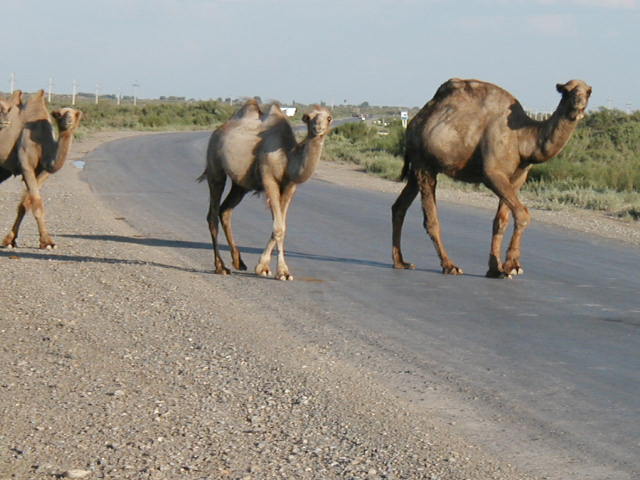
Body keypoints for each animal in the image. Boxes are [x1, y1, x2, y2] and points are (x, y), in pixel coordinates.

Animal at [0, 89, 84, 249]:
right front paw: (47, 242)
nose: (68, 121)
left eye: (75, 114)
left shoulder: (43, 171)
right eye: (60, 114)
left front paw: (10, 240)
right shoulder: (26, 164)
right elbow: (37, 204)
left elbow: (25, 204)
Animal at [198, 100, 332, 282]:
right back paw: (221, 267)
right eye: (309, 117)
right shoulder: (269, 179)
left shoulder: (289, 186)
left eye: (329, 118)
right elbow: (278, 227)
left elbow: (281, 226)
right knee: (212, 213)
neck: (288, 156)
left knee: (225, 210)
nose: (318, 128)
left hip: (241, 185)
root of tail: (218, 130)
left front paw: (271, 269)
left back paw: (238, 261)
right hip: (215, 167)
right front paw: (277, 271)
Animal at [392, 78, 592, 278]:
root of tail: (414, 122)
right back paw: (449, 266)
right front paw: (512, 265)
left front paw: (496, 268)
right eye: (566, 91)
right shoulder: (493, 174)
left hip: (417, 167)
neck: (523, 140)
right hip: (424, 163)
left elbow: (500, 221)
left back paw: (401, 262)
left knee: (400, 206)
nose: (578, 103)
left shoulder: (517, 179)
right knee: (431, 218)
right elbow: (522, 213)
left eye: (588, 92)